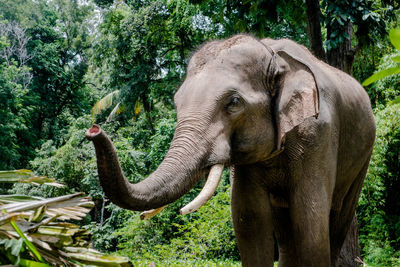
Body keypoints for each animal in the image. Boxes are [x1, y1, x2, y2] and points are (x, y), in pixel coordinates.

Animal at [86, 34, 376, 266]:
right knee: (284, 229)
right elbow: (250, 221)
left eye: (234, 102)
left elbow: (310, 223)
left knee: (337, 217)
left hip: (363, 156)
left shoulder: (318, 135)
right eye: (176, 102)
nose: (94, 130)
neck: (274, 56)